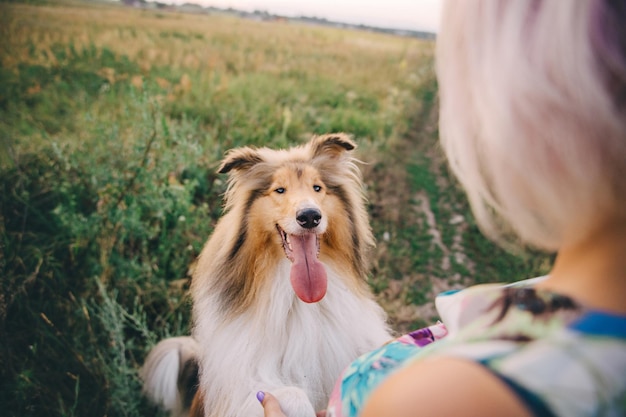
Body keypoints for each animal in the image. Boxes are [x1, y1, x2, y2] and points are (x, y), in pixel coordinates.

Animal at [141, 134, 390, 416]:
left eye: (317, 188)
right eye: (279, 190)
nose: (310, 216)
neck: (298, 299)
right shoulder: (243, 386)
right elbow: (292, 394)